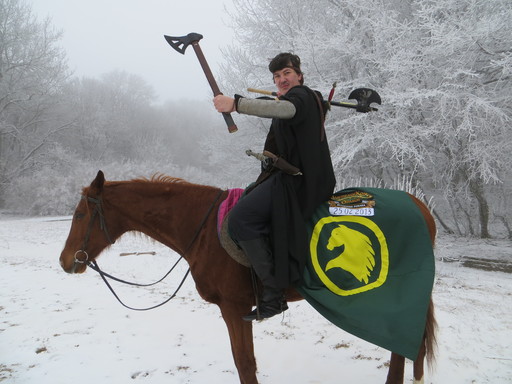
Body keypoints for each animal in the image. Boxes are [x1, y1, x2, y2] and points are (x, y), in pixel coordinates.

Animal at [59, 172, 436, 384]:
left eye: (79, 214)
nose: (65, 261)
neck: (204, 228)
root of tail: (422, 208)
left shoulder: (234, 309)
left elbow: (245, 365)